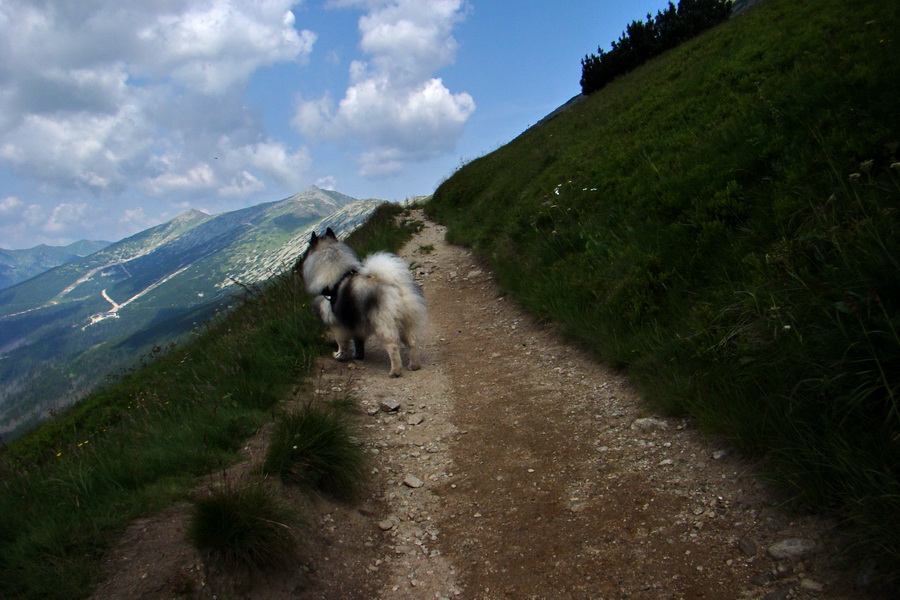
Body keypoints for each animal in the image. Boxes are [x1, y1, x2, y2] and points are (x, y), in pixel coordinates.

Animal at [298, 227, 428, 378]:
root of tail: (394, 285)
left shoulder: (337, 325)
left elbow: (341, 343)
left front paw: (339, 356)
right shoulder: (354, 324)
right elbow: (358, 342)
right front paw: (358, 355)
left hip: (383, 325)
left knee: (393, 347)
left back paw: (395, 371)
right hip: (406, 323)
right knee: (412, 343)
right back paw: (414, 365)